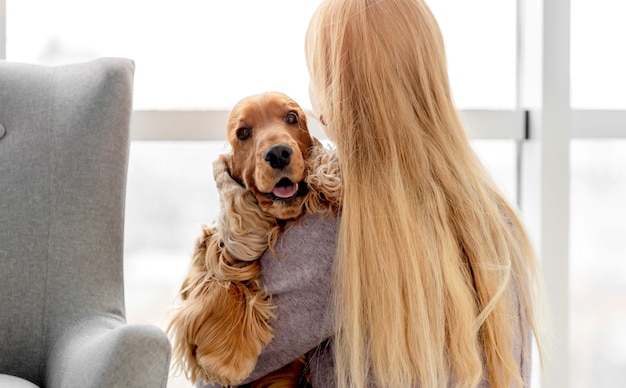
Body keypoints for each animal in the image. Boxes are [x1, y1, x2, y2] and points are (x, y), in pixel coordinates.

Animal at [168, 92, 338, 386]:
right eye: (243, 133)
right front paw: (228, 358)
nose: (278, 153)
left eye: (291, 117)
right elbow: (221, 280)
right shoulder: (210, 251)